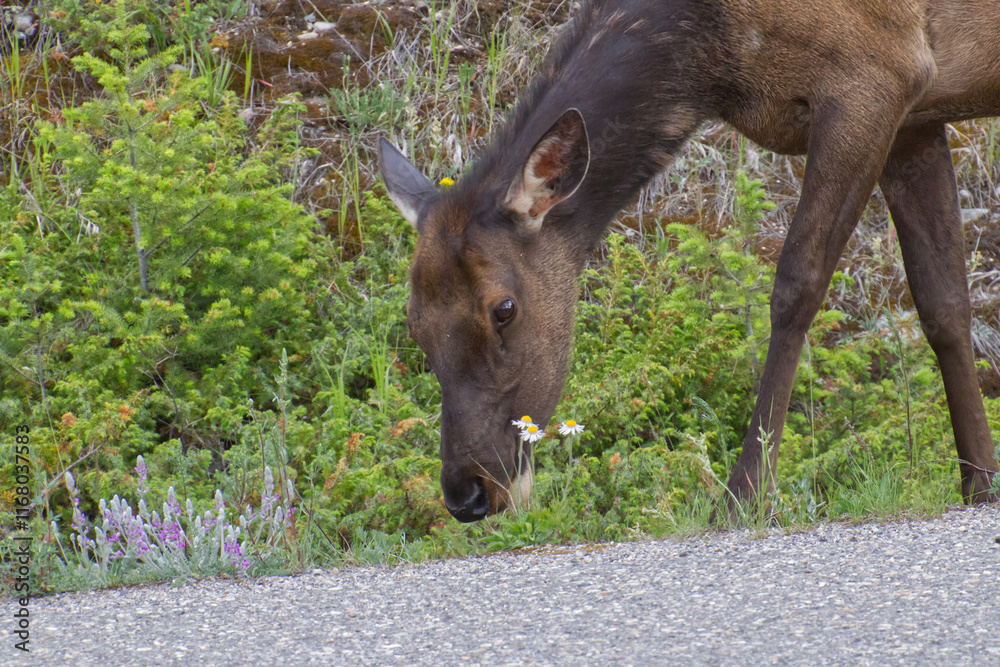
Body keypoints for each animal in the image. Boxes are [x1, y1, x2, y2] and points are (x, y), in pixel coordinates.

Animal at [379, 0, 1000, 522]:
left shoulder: (877, 74)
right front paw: (980, 483)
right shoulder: (914, 118)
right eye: (414, 323)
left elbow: (796, 285)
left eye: (504, 308)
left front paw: (743, 496)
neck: (715, 60)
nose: (468, 495)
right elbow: (944, 305)